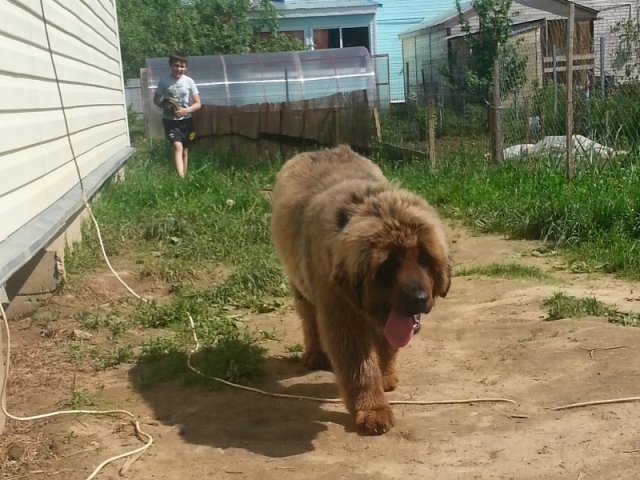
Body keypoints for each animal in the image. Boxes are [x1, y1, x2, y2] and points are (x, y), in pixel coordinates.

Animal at [268, 145, 450, 436]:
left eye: (424, 258)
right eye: (389, 264)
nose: (419, 299)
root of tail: (325, 149)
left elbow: (387, 345)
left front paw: (385, 375)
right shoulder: (342, 315)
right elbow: (358, 367)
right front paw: (373, 409)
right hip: (300, 285)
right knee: (309, 318)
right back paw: (315, 354)